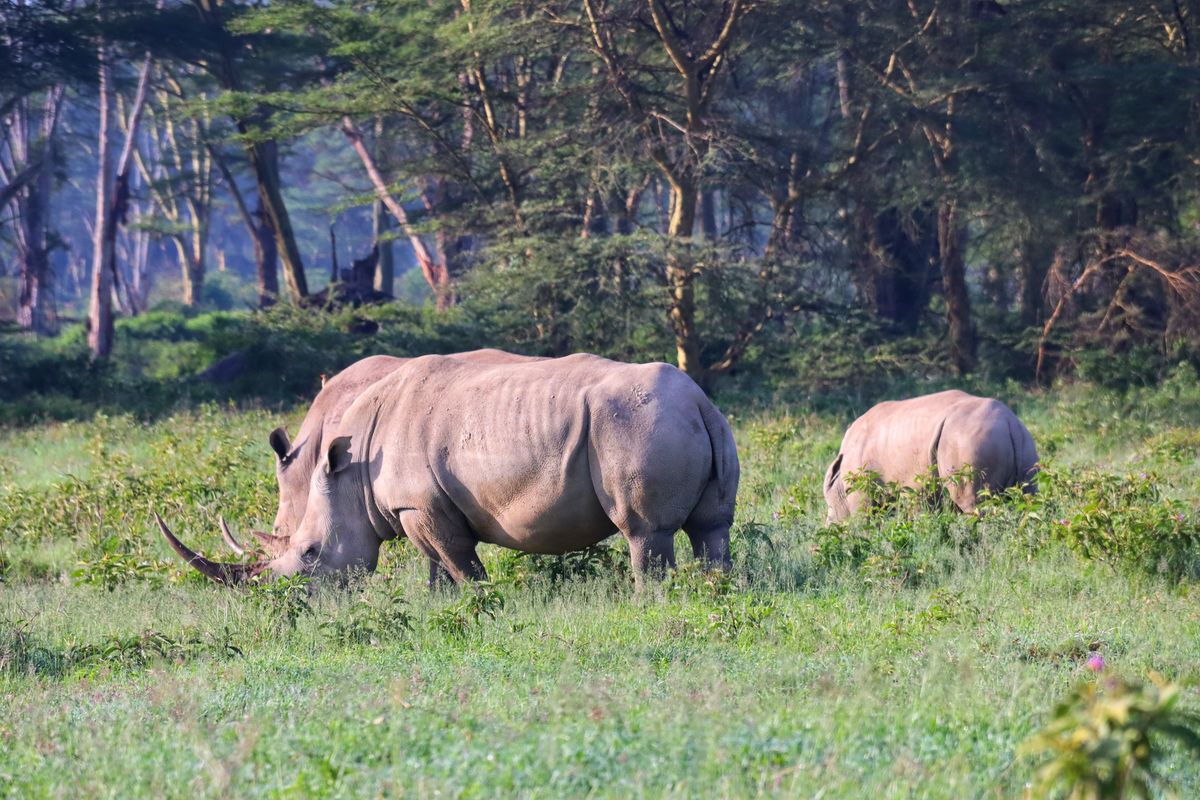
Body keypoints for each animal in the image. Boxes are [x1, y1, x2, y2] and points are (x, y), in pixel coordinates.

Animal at [159, 354, 738, 586]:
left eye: (309, 553)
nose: (288, 600)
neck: (352, 473)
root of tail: (699, 402)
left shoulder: (420, 504)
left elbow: (462, 566)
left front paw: (486, 606)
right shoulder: (413, 506)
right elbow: (437, 568)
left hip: (637, 426)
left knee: (644, 532)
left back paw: (647, 602)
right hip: (695, 423)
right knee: (712, 529)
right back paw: (713, 591)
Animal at [823, 389, 1038, 522]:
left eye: (831, 513)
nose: (828, 526)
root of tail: (1010, 422)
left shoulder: (862, 487)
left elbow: (864, 520)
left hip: (971, 441)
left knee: (972, 502)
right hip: (1024, 443)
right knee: (1029, 498)